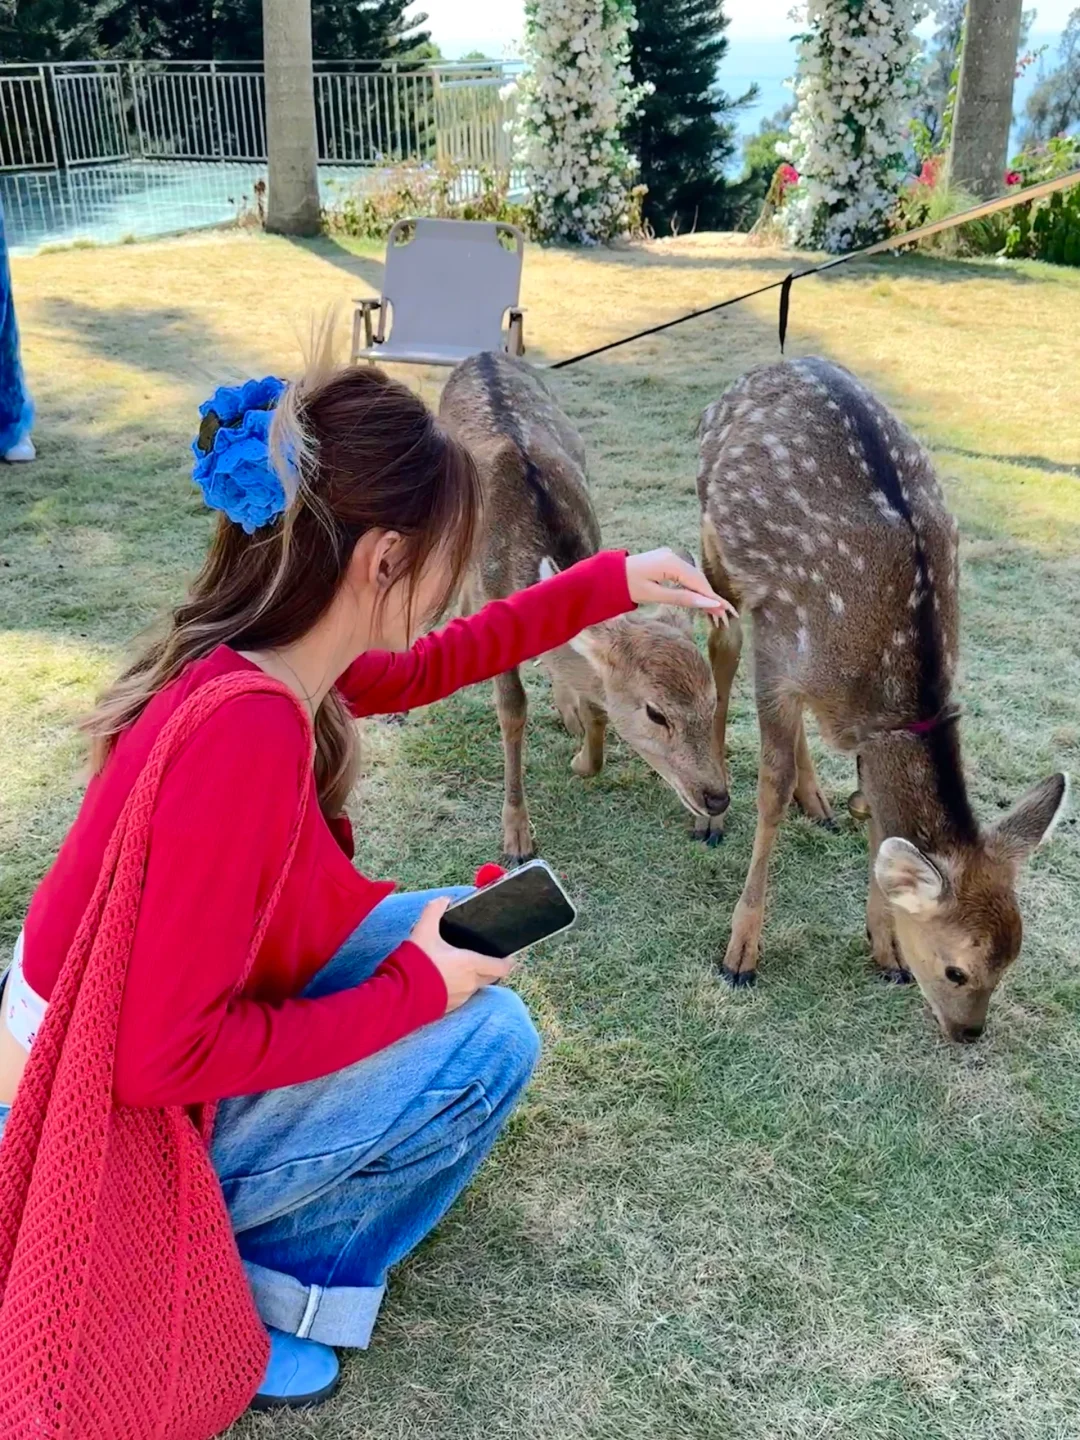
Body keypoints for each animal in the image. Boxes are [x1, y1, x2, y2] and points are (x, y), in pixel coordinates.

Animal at [440, 348, 737, 864]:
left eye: (715, 700)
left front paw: (583, 757)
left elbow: (595, 703)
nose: (716, 797)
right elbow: (512, 710)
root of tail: (483, 353)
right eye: (655, 713)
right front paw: (517, 836)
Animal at [696, 354, 1071, 1042]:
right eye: (957, 970)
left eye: (1011, 963)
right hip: (719, 551)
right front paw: (741, 953)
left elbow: (870, 804)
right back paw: (712, 808)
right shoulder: (781, 649)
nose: (969, 1033)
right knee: (722, 638)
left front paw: (886, 950)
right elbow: (769, 789)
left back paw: (817, 800)